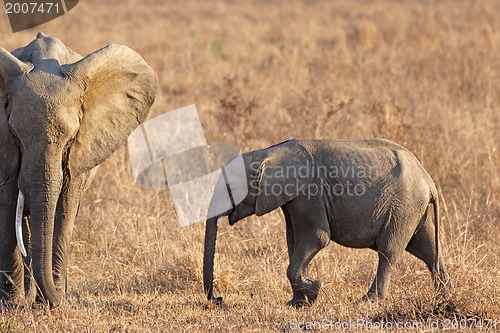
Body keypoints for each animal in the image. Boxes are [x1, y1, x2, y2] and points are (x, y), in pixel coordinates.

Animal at [0, 33, 156, 306]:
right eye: (16, 136)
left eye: (71, 139)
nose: (64, 301)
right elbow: (8, 204)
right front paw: (13, 305)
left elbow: (65, 210)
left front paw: (52, 303)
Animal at [201, 137, 448, 306]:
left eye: (231, 188)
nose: (219, 299)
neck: (269, 152)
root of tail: (428, 180)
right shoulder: (293, 198)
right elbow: (293, 242)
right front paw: (296, 303)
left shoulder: (308, 192)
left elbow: (316, 238)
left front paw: (314, 290)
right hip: (413, 209)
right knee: (427, 249)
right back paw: (444, 297)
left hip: (404, 206)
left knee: (388, 251)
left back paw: (368, 301)